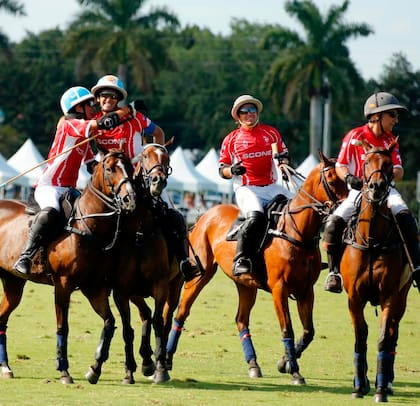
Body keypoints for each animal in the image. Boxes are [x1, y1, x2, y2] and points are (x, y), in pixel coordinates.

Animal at [0, 149, 135, 384]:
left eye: (129, 166)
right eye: (110, 169)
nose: (130, 198)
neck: (88, 225)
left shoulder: (95, 288)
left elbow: (109, 322)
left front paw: (94, 369)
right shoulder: (63, 284)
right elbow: (63, 327)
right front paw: (64, 371)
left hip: (13, 282)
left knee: (1, 320)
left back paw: (6, 367)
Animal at [166, 151, 346, 384]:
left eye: (348, 180)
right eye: (332, 181)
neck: (297, 232)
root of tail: (205, 215)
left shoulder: (306, 290)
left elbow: (308, 331)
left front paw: (285, 362)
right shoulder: (279, 289)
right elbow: (287, 329)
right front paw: (295, 372)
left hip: (246, 284)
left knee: (241, 320)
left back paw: (253, 364)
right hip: (200, 274)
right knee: (181, 312)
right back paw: (167, 358)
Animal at [342, 140, 410, 402]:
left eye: (389, 163)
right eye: (366, 161)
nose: (377, 187)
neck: (371, 240)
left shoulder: (390, 296)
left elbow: (383, 339)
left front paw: (380, 390)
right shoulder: (354, 298)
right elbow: (360, 337)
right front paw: (359, 386)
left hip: (402, 297)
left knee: (392, 335)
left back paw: (387, 382)